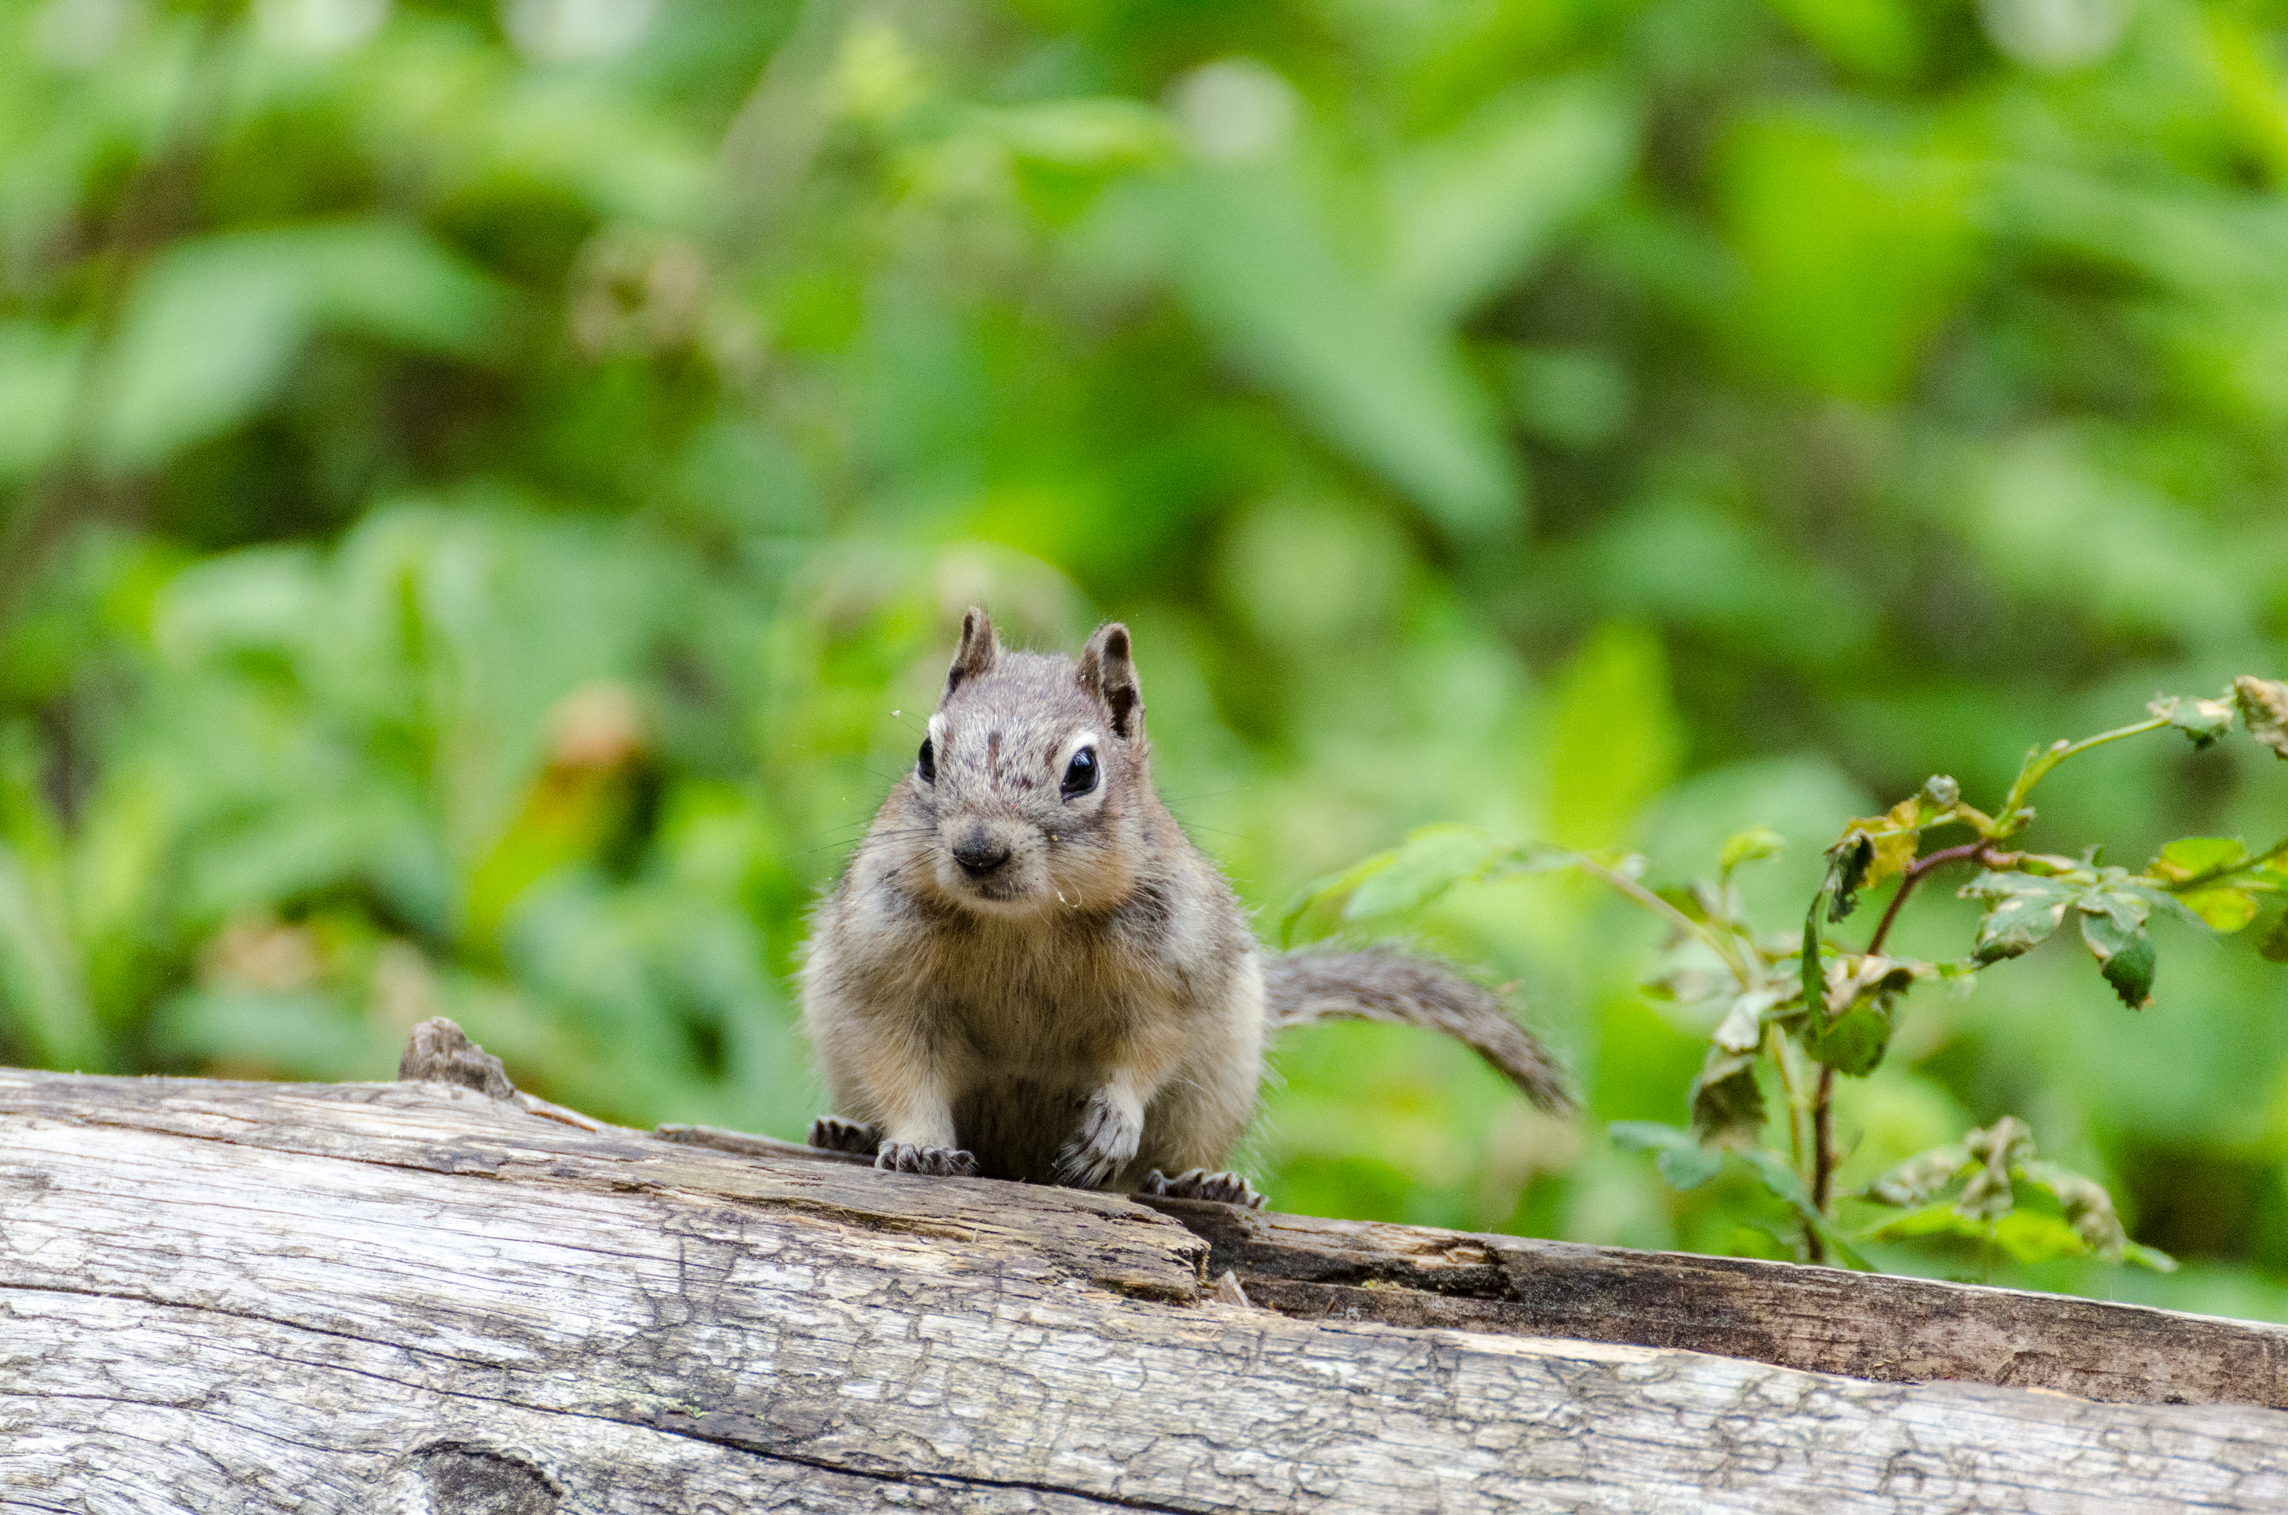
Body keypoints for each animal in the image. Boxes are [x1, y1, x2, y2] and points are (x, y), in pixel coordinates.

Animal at [799, 608, 1572, 1206]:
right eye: (926, 755)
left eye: (1083, 770)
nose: (979, 851)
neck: (1024, 922)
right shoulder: (884, 978)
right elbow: (905, 1070)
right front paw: (919, 1147)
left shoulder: (1177, 974)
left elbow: (1150, 1049)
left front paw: (1114, 1120)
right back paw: (847, 1132)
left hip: (1217, 1085)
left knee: (1155, 1170)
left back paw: (1204, 1182)